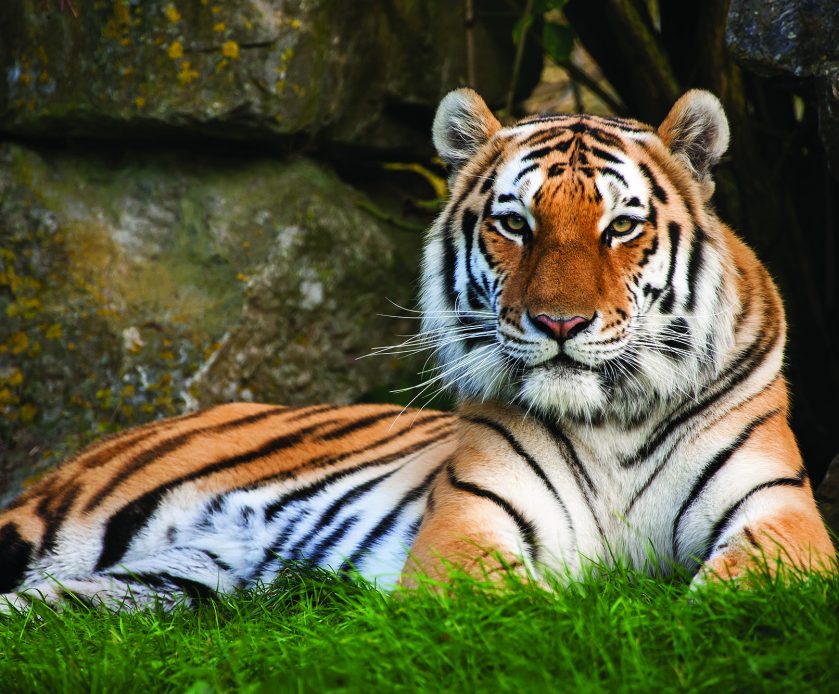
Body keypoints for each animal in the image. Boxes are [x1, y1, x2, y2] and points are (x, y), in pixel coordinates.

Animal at [1, 88, 832, 616]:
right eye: (516, 225)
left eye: (620, 227)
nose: (559, 323)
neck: (612, 420)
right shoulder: (468, 530)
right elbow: (523, 609)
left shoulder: (779, 512)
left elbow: (737, 593)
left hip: (152, 590)